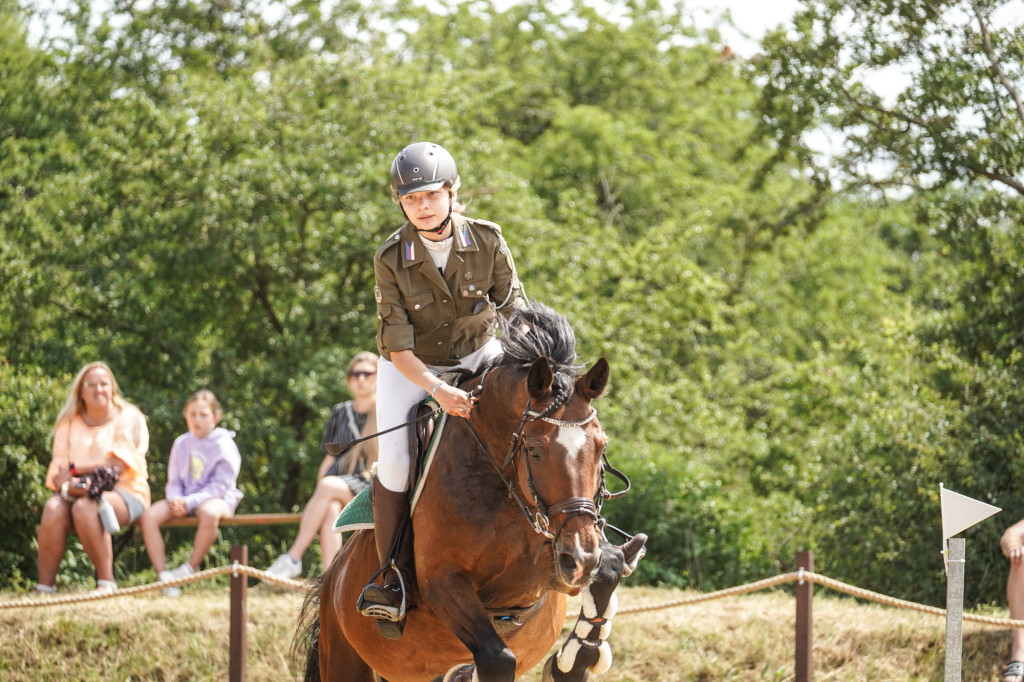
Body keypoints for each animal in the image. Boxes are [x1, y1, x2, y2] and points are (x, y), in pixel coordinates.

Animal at [299, 303, 643, 679]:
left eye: (600, 447)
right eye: (534, 450)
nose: (580, 557)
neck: (503, 485)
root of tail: (332, 575)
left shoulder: (552, 568)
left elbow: (609, 566)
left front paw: (576, 657)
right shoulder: (442, 583)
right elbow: (498, 657)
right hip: (345, 657)